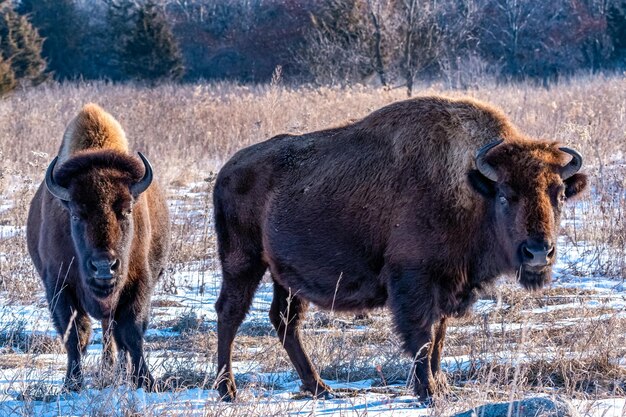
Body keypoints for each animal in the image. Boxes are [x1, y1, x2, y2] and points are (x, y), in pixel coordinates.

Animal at [26, 103, 169, 390]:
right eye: (75, 215)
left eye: (127, 210)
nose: (104, 267)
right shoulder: (59, 286)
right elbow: (75, 335)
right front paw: (72, 383)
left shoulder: (139, 283)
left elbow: (132, 332)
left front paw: (145, 381)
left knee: (113, 335)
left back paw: (117, 371)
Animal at [212, 95, 588, 400]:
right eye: (506, 195)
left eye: (559, 194)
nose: (538, 252)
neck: (471, 186)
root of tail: (228, 169)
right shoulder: (415, 280)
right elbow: (422, 336)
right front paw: (428, 392)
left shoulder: (447, 284)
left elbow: (438, 337)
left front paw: (441, 386)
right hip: (242, 261)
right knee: (230, 312)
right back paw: (228, 390)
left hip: (285, 276)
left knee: (285, 320)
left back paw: (320, 388)